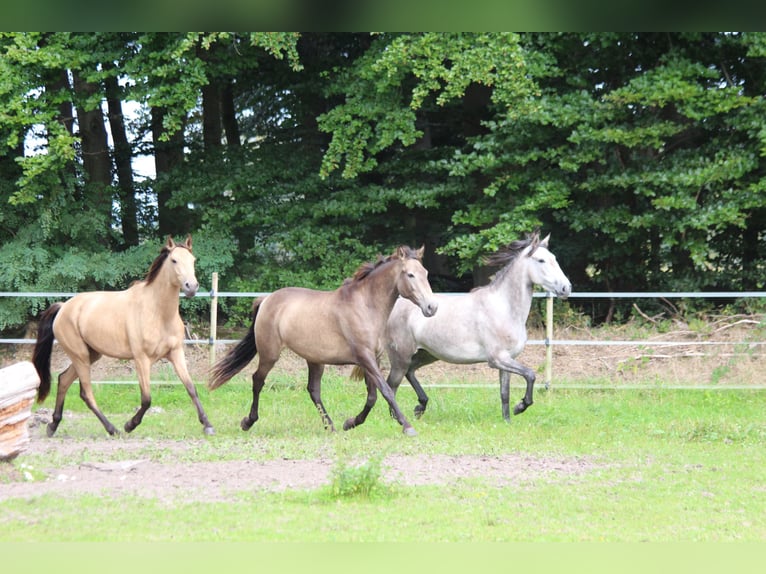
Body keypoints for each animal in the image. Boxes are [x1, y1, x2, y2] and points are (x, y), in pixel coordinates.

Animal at [31, 236, 214, 438]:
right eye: (174, 260)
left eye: (193, 260)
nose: (192, 287)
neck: (158, 312)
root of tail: (63, 307)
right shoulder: (141, 359)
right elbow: (147, 399)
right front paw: (129, 425)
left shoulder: (176, 353)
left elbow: (191, 388)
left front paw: (207, 425)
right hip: (80, 356)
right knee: (86, 393)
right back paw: (113, 429)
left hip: (91, 355)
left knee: (63, 380)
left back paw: (53, 425)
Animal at [208, 245, 438, 438]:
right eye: (410, 274)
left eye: (426, 273)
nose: (431, 307)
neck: (365, 306)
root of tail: (266, 300)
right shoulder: (365, 357)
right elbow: (387, 391)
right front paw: (407, 426)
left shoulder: (373, 359)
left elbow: (372, 396)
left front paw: (350, 423)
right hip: (270, 354)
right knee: (257, 380)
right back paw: (248, 421)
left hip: (314, 359)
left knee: (313, 390)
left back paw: (331, 426)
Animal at [384, 233, 568, 424]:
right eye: (541, 260)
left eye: (554, 258)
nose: (566, 288)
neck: (504, 308)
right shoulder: (497, 359)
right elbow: (530, 375)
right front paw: (520, 407)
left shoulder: (507, 359)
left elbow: (505, 393)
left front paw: (507, 421)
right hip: (400, 356)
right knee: (391, 384)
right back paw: (396, 419)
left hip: (426, 354)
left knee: (409, 372)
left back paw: (420, 406)